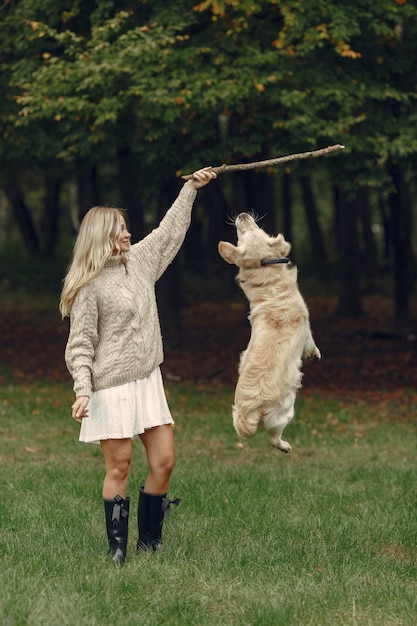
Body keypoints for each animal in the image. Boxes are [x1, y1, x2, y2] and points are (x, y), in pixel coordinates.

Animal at [218, 212, 318, 450]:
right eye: (242, 235)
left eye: (255, 229)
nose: (243, 215)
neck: (270, 287)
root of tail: (252, 407)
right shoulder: (306, 321)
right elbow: (310, 341)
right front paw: (314, 354)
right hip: (285, 412)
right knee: (273, 438)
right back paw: (285, 446)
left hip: (236, 412)